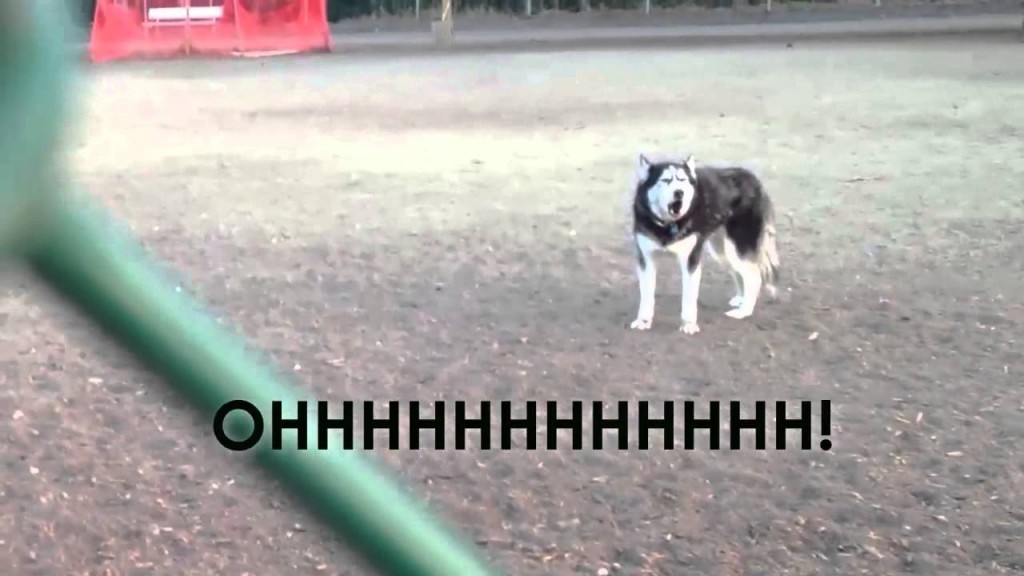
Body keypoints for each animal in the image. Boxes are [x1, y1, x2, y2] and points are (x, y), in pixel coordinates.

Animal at [626, 153, 778, 332]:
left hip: (738, 249)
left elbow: (689, 298)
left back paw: (744, 311)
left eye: (682, 180)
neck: (669, 224)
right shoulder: (646, 259)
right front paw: (643, 321)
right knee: (739, 273)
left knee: (754, 277)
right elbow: (646, 296)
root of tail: (752, 178)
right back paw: (740, 299)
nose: (679, 193)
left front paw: (689, 325)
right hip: (723, 251)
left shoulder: (690, 260)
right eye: (665, 180)